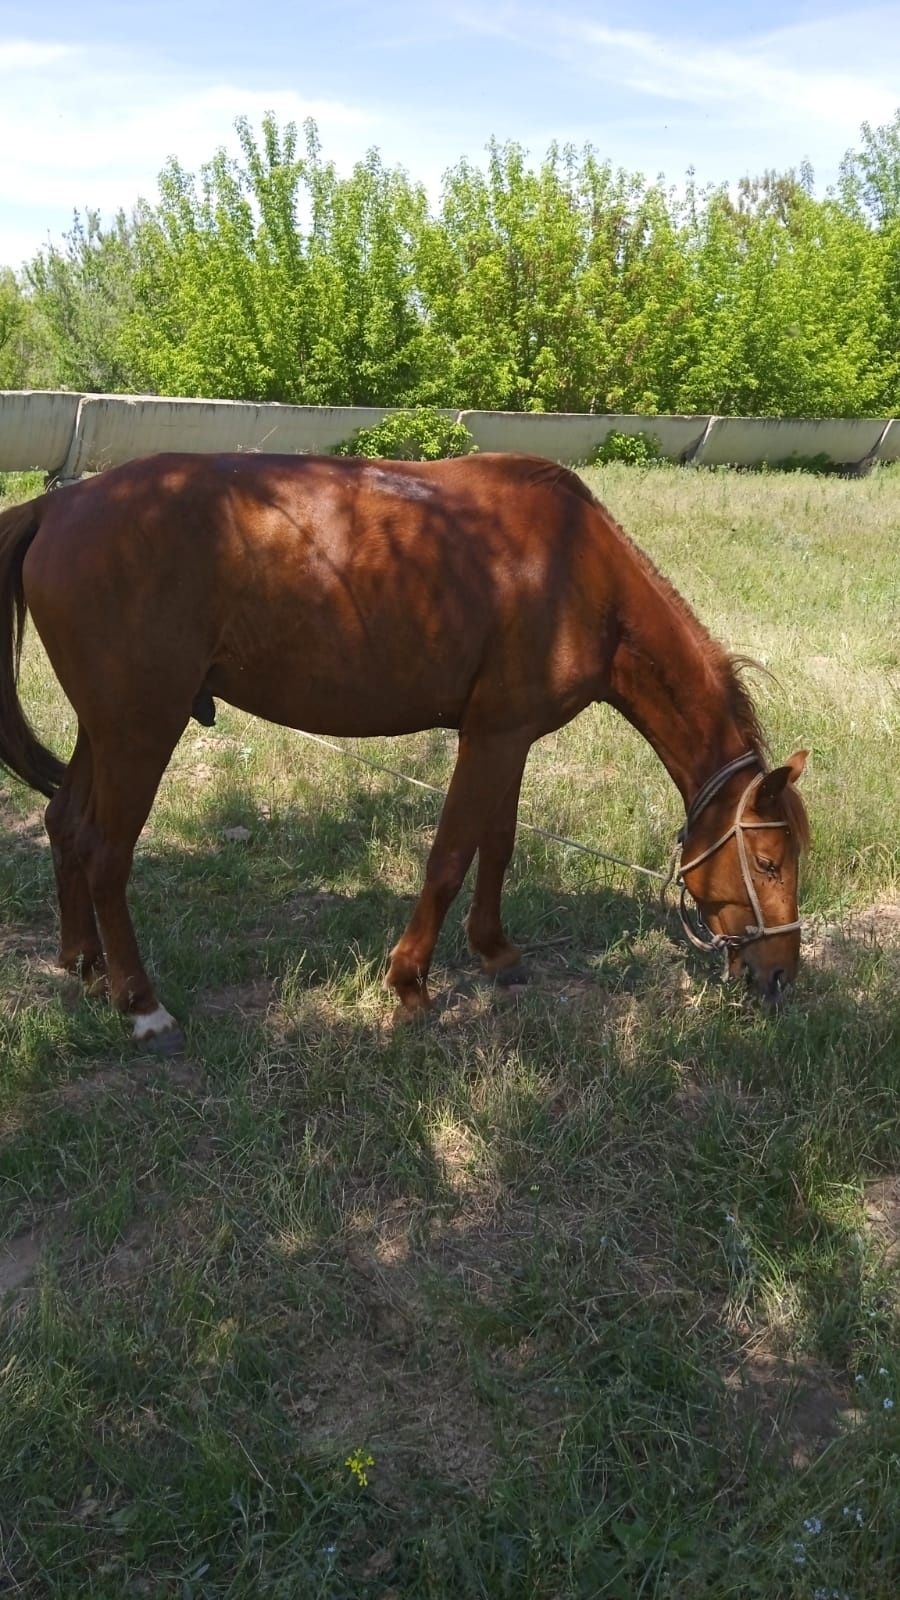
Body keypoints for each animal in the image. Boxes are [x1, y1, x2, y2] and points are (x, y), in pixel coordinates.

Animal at [0, 454, 807, 1049]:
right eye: (769, 861)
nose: (781, 976)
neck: (580, 573)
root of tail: (56, 508)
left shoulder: (509, 735)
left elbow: (498, 845)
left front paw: (495, 952)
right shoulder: (491, 737)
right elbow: (449, 857)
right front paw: (410, 983)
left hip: (105, 729)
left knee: (65, 824)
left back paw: (85, 965)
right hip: (141, 730)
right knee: (106, 854)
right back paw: (142, 1005)